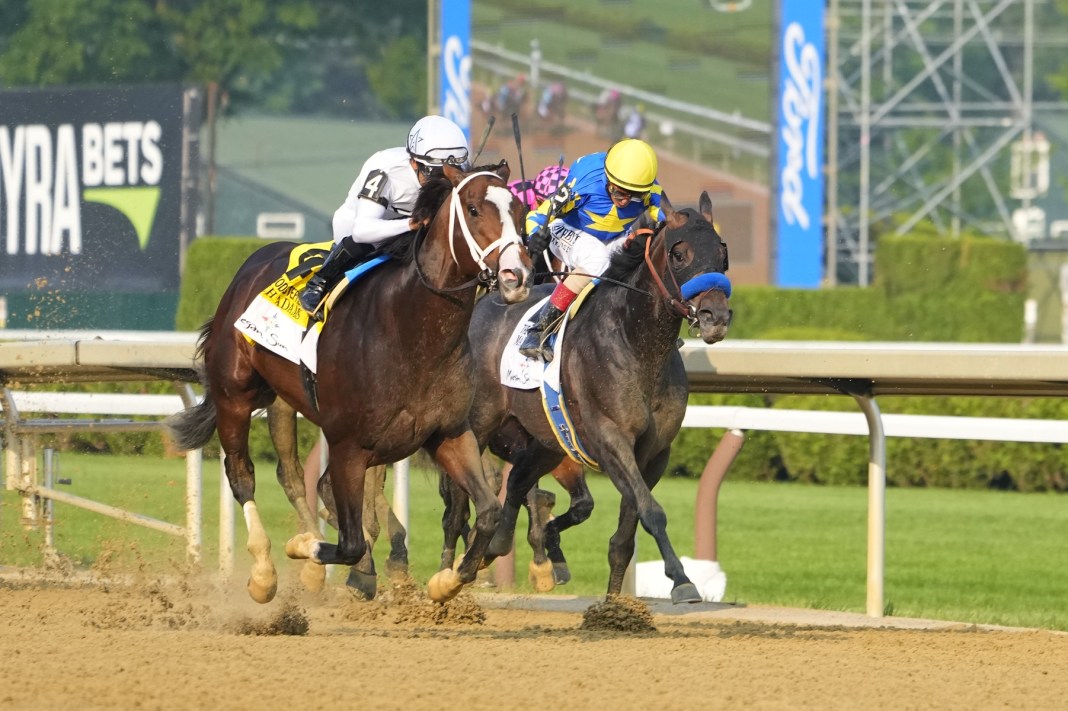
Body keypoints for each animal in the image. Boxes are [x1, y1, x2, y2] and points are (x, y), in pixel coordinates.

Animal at [166, 161, 534, 604]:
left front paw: (446, 580)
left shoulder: (448, 433)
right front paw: (305, 550)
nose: (517, 276)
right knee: (242, 474)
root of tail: (252, 263)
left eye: (519, 210)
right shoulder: (347, 445)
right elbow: (348, 541)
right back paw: (264, 572)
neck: (411, 330)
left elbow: (488, 511)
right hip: (234, 395)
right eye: (475, 209)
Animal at [456, 192, 732, 602]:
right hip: (479, 423)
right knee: (459, 493)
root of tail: (488, 300)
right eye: (679, 254)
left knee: (519, 478)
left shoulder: (654, 452)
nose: (716, 317)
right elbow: (652, 511)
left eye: (722, 251)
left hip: (548, 437)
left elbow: (626, 534)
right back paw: (452, 569)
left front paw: (615, 603)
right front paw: (682, 580)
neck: (637, 343)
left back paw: (498, 545)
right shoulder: (608, 438)